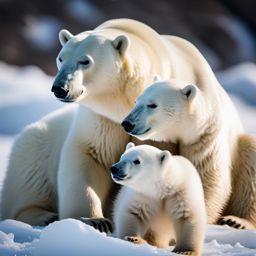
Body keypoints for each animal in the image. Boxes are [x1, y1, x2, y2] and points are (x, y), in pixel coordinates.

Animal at [0, 18, 232, 228]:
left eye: (85, 61)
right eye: (60, 58)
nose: (59, 88)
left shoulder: (196, 127)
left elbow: (200, 169)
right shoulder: (103, 119)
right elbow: (91, 156)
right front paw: (94, 220)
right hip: (38, 144)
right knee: (28, 177)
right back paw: (44, 216)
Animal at [121, 79, 256, 229]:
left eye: (152, 105)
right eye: (136, 101)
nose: (127, 123)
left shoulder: (205, 139)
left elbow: (207, 177)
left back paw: (237, 221)